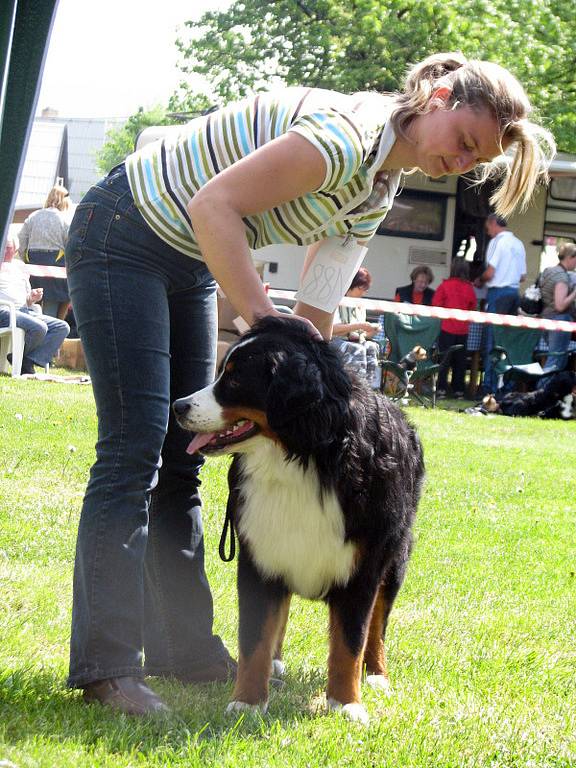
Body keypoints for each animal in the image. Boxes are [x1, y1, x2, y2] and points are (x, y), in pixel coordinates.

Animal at [171, 316, 424, 724]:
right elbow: (255, 634)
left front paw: (347, 702)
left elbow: (351, 639)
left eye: (235, 379)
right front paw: (248, 700)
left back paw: (376, 674)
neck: (303, 457)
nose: (178, 406)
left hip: (395, 561)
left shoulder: (363, 567)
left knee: (378, 626)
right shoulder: (259, 555)